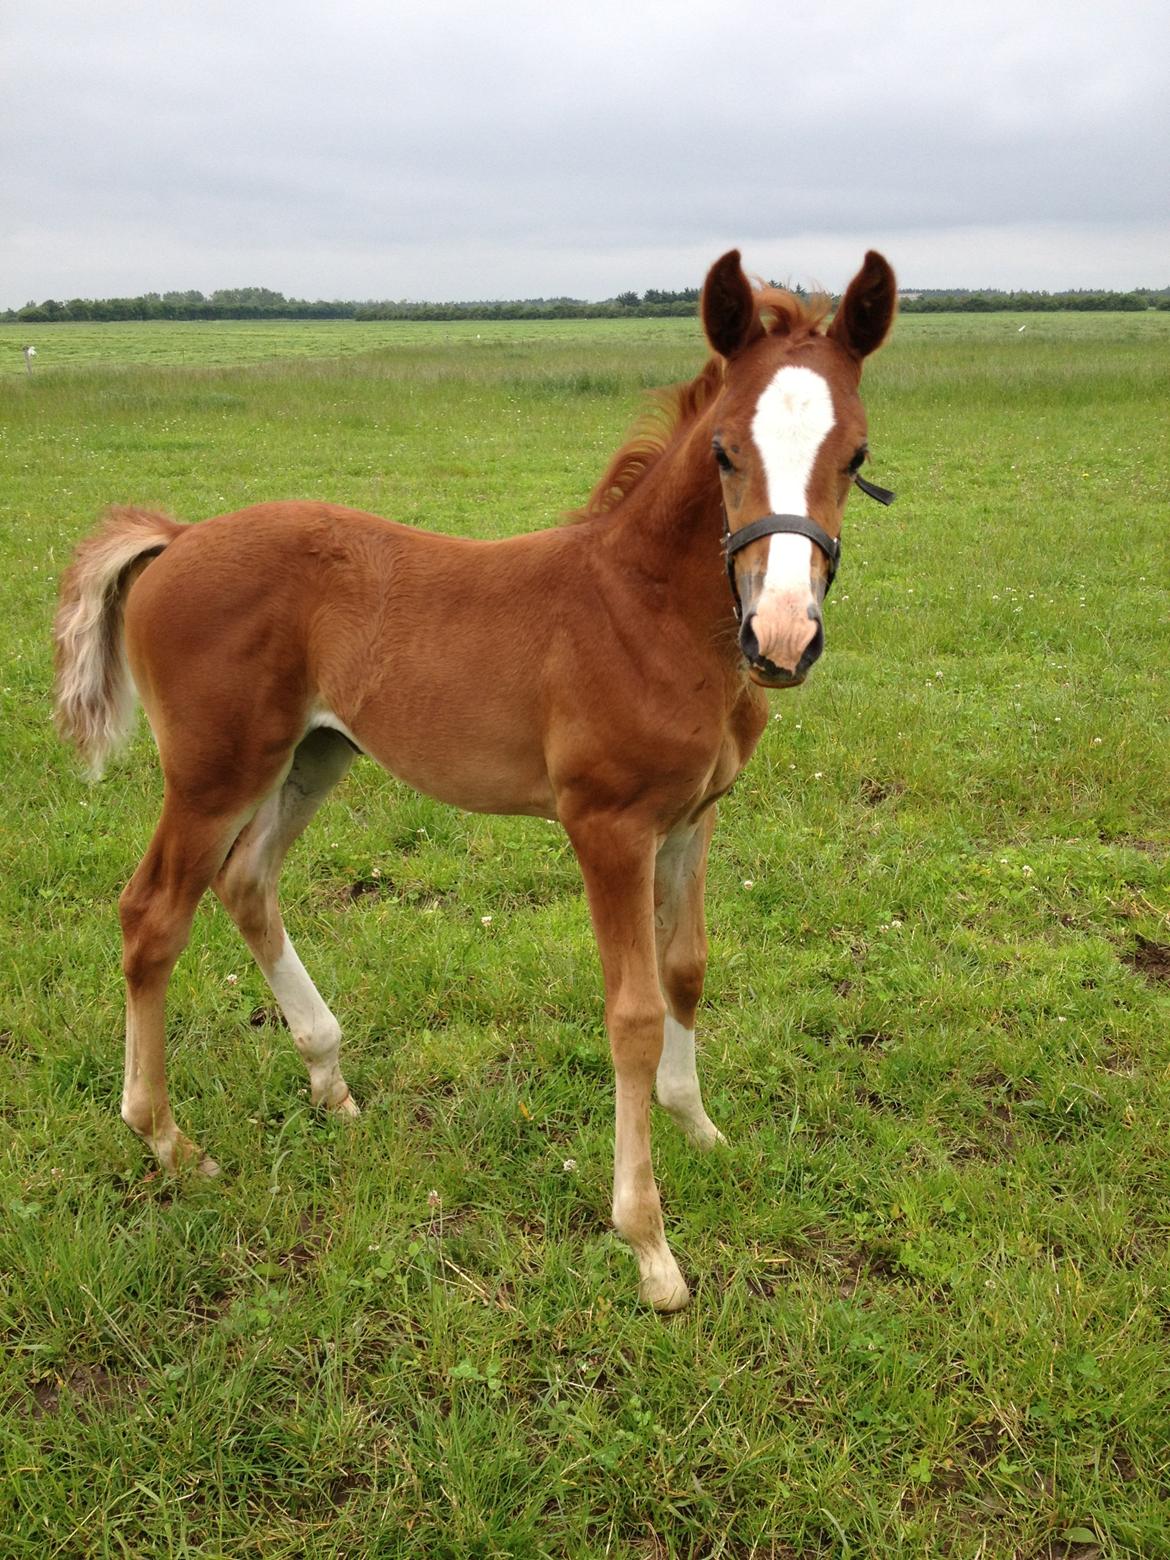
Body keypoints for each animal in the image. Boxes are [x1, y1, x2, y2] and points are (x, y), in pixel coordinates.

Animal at [54, 249, 898, 1310]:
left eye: (856, 456)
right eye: (723, 453)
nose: (783, 638)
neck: (650, 612)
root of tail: (179, 534)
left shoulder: (694, 818)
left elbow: (688, 971)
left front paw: (699, 1128)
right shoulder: (608, 825)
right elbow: (631, 1011)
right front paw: (649, 1244)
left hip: (315, 754)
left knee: (245, 882)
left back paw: (329, 1080)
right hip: (215, 771)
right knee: (152, 913)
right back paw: (169, 1141)